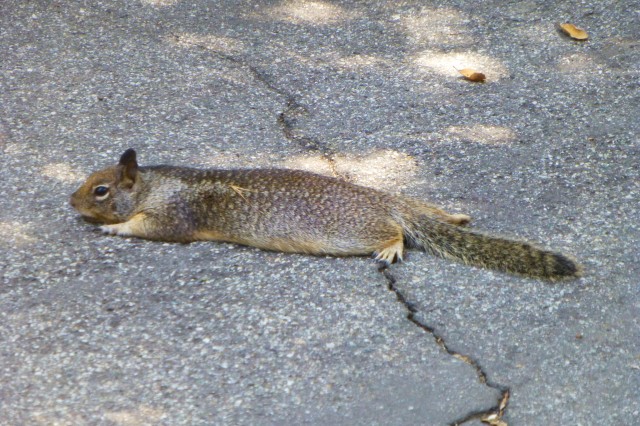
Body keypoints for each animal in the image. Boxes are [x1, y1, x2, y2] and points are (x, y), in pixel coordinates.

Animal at [70, 149, 582, 280]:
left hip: (352, 232)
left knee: (395, 232)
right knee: (426, 210)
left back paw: (391, 247)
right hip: (405, 201)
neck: (156, 184)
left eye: (100, 190)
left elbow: (150, 228)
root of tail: (384, 201)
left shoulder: (173, 216)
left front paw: (116, 228)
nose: (70, 203)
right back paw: (453, 216)